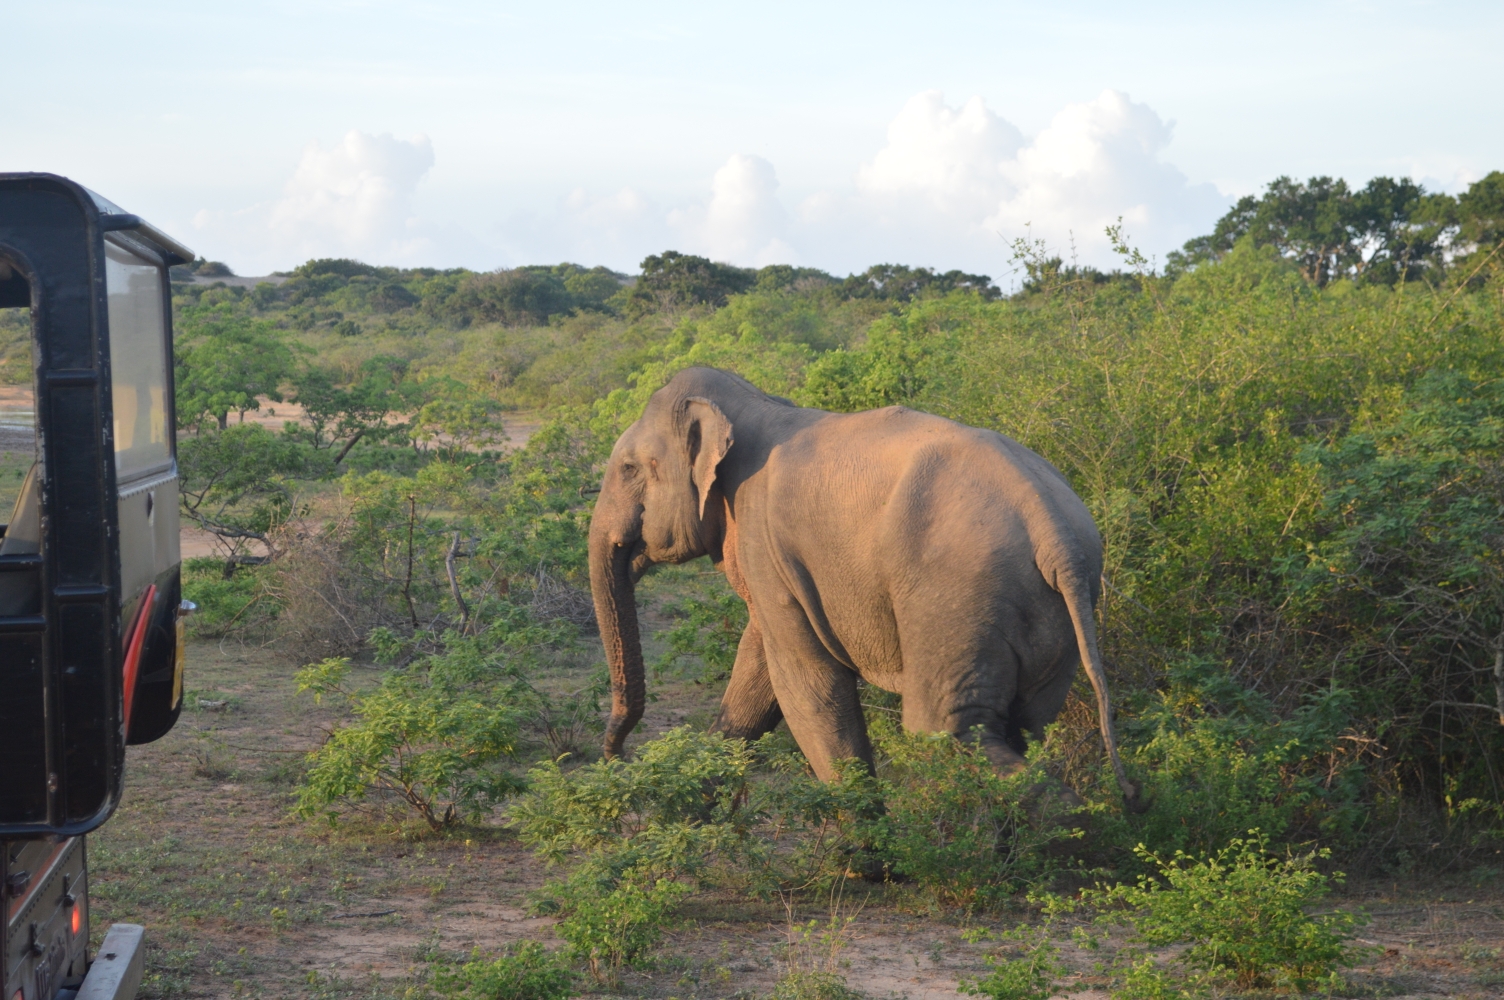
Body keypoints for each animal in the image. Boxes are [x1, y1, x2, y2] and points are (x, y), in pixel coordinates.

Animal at [586, 366, 1137, 812]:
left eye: (628, 469)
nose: (617, 757)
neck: (754, 403)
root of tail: (1054, 530)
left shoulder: (764, 540)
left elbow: (804, 683)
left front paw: (868, 865)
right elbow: (759, 672)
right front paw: (687, 813)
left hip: (958, 596)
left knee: (944, 727)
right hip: (1048, 614)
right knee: (1025, 724)